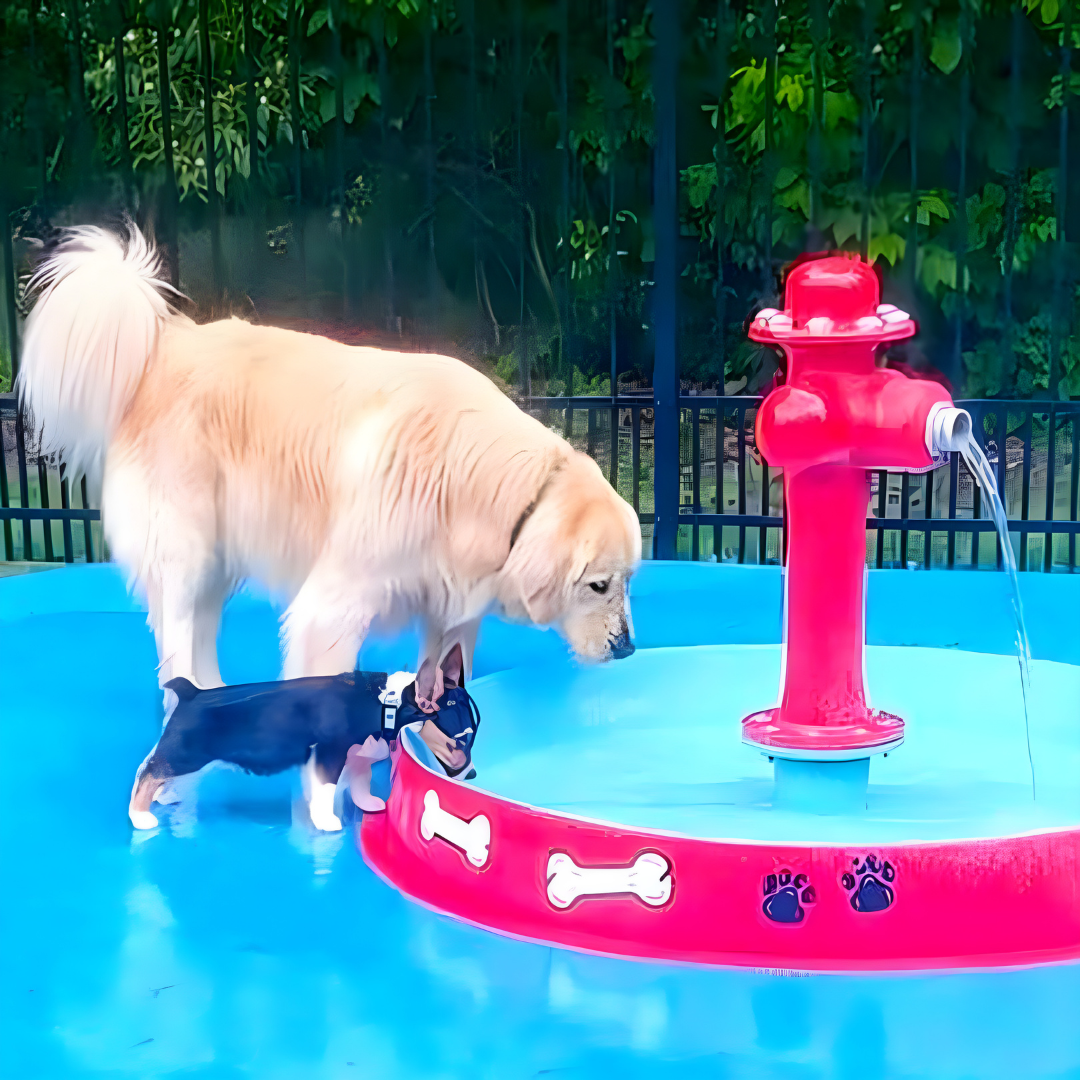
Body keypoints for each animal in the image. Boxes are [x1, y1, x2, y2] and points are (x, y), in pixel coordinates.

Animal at [129, 643, 477, 829]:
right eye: (461, 740)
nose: (472, 775)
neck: (387, 704)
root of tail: (191, 693)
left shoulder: (358, 755)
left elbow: (361, 782)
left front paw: (368, 804)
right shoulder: (330, 753)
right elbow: (326, 789)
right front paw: (327, 821)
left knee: (156, 770)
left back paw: (164, 797)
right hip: (187, 754)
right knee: (146, 772)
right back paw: (141, 816)